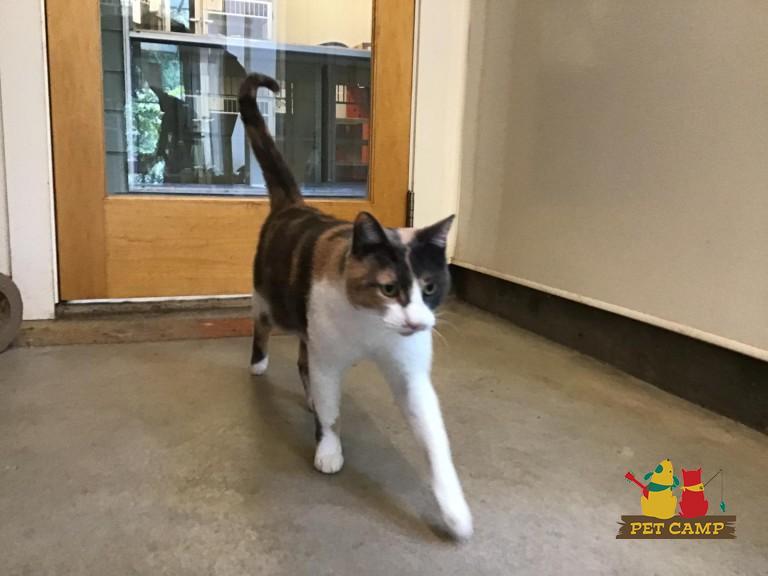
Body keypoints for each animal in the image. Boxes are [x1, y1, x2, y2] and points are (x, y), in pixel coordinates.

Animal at [238, 73, 473, 540]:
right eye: (388, 288)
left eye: (430, 286)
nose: (416, 321)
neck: (373, 329)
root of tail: (295, 204)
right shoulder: (329, 358)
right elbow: (331, 413)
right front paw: (328, 449)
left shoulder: (410, 375)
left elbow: (435, 443)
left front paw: (453, 508)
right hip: (274, 303)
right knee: (264, 326)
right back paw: (259, 364)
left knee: (303, 360)